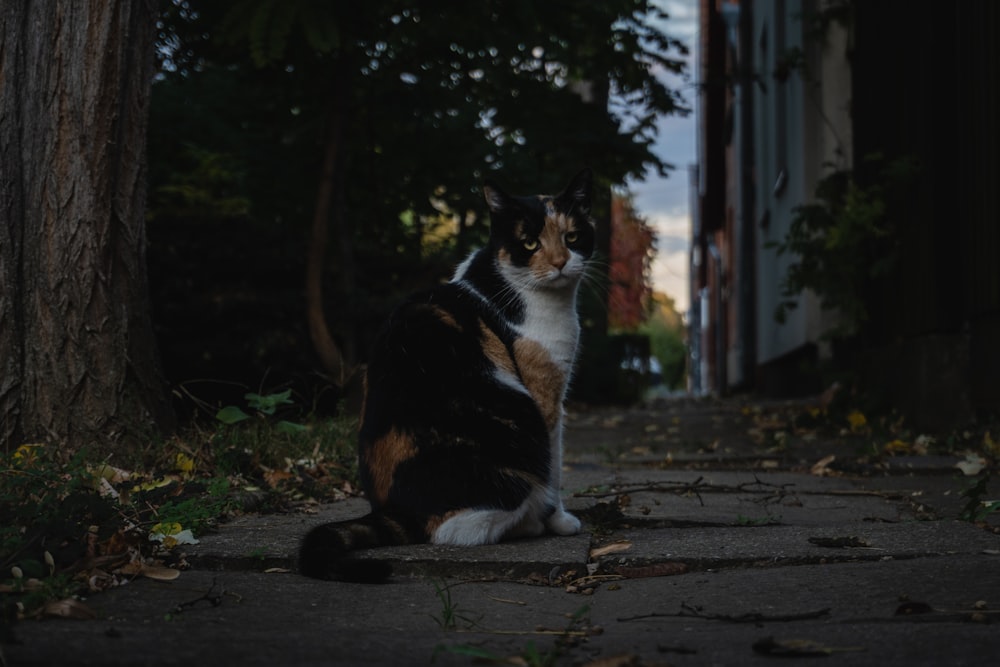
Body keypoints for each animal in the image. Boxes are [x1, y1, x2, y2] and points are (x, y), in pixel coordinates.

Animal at [296, 170, 592, 580]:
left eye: (572, 237)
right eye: (530, 243)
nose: (562, 262)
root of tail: (394, 512)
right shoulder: (546, 397)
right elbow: (556, 468)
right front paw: (560, 521)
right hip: (516, 434)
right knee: (458, 531)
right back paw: (529, 523)